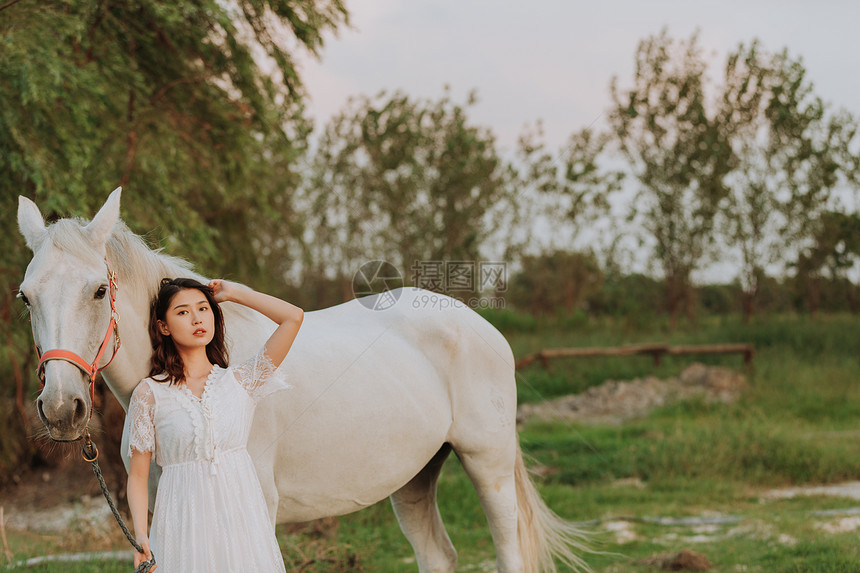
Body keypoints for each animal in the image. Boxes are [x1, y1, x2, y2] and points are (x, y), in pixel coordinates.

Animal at [15, 189, 592, 572]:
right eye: (25, 296)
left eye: (97, 291)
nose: (62, 409)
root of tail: (478, 323)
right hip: (414, 478)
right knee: (438, 556)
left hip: (487, 463)